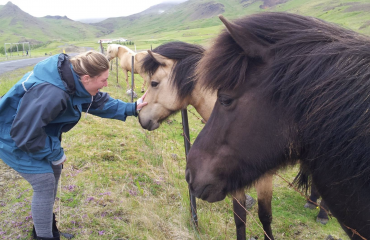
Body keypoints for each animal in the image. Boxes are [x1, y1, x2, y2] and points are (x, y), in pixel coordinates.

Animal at [138, 41, 326, 240]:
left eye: (154, 83)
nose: (140, 116)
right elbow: (240, 217)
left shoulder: (265, 177)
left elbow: (265, 215)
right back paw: (312, 202)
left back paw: (322, 214)